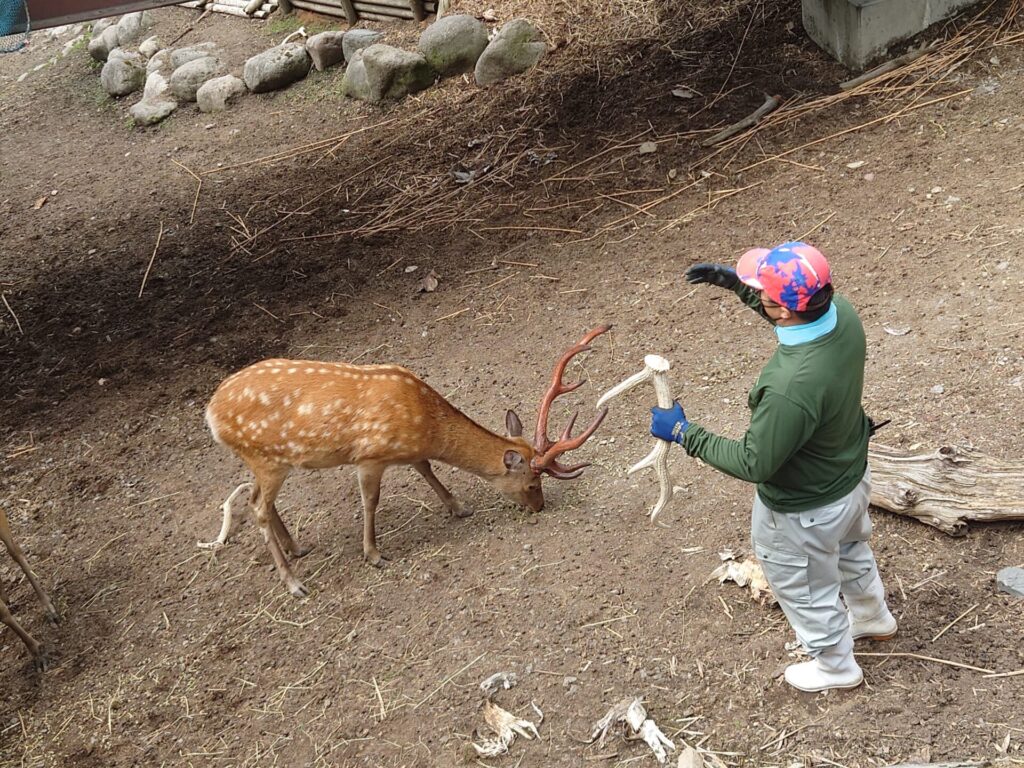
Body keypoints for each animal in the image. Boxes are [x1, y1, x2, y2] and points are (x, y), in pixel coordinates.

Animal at [203, 327, 610, 598]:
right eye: (532, 484)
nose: (539, 506)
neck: (422, 420)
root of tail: (211, 414)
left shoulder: (408, 451)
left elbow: (426, 468)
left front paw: (458, 507)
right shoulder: (370, 455)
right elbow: (371, 501)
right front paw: (374, 554)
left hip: (264, 460)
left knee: (258, 500)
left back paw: (298, 548)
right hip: (266, 457)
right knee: (257, 506)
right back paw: (293, 582)